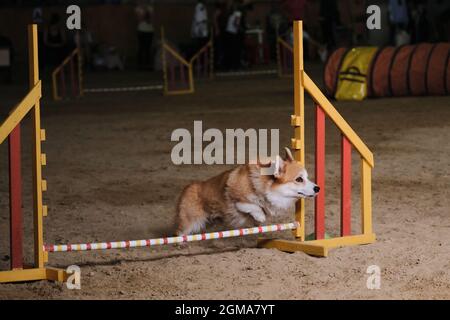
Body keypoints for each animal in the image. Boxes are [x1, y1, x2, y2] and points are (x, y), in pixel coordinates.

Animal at [176, 148, 320, 235]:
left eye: (307, 177)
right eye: (299, 179)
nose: (317, 188)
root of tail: (189, 186)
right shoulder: (236, 199)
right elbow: (252, 206)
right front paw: (260, 216)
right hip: (190, 221)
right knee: (180, 232)